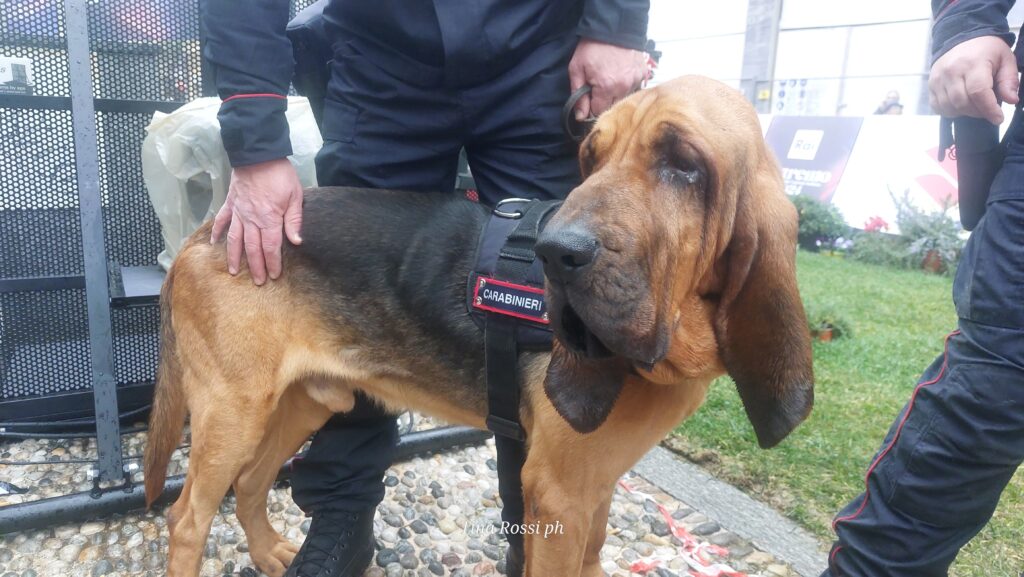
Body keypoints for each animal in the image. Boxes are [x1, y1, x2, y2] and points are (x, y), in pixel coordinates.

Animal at [146, 76, 815, 577]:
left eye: (684, 165)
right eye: (590, 158)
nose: (554, 254)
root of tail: (207, 232)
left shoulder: (594, 487)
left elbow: (594, 555)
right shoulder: (558, 492)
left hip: (302, 402)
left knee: (252, 484)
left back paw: (268, 552)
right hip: (233, 414)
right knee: (187, 519)